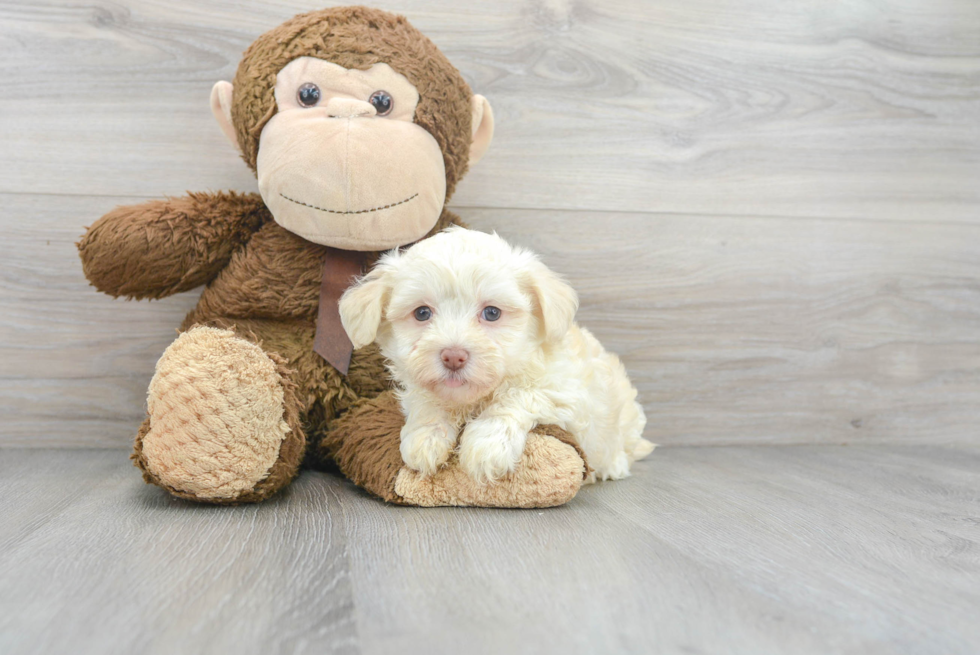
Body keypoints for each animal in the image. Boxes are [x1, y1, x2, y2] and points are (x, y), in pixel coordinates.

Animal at [340, 228, 656, 484]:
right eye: (421, 313)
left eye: (492, 313)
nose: (453, 356)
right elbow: (428, 403)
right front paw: (424, 437)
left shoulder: (565, 390)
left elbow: (518, 396)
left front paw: (486, 444)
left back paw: (613, 465)